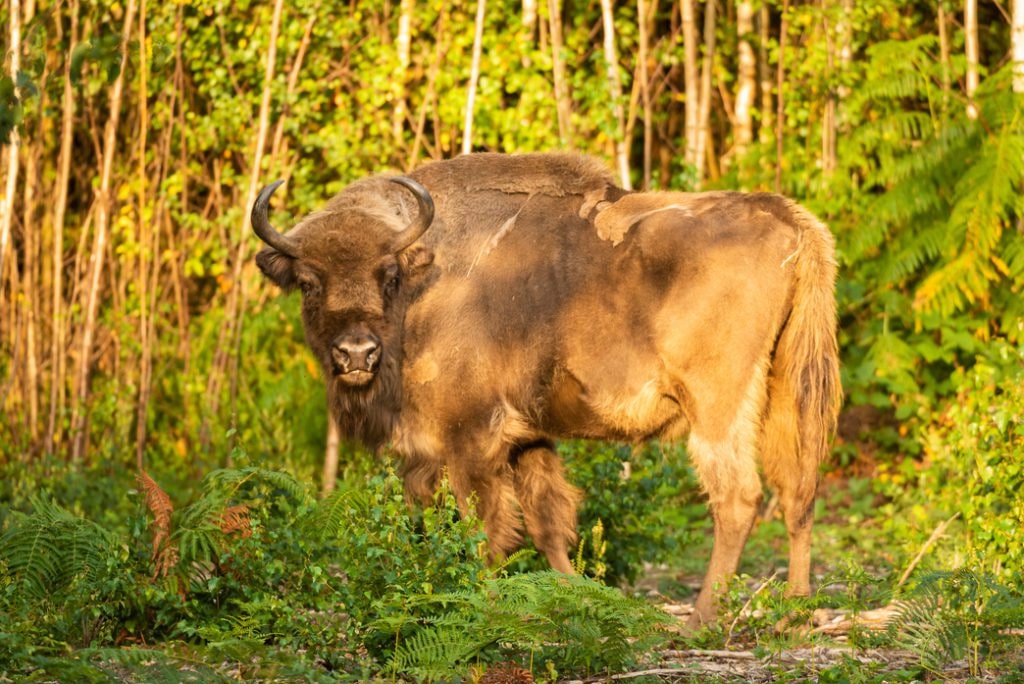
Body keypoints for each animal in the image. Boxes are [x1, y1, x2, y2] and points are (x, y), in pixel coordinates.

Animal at [252, 152, 840, 626]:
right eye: (309, 282)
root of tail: (789, 219)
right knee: (798, 490)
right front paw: (575, 596)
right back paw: (796, 613)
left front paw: (484, 606)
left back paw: (698, 622)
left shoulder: (470, 438)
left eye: (388, 275)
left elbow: (485, 530)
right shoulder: (527, 437)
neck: (425, 279)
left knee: (738, 498)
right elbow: (546, 521)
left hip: (718, 405)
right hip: (786, 389)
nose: (356, 354)